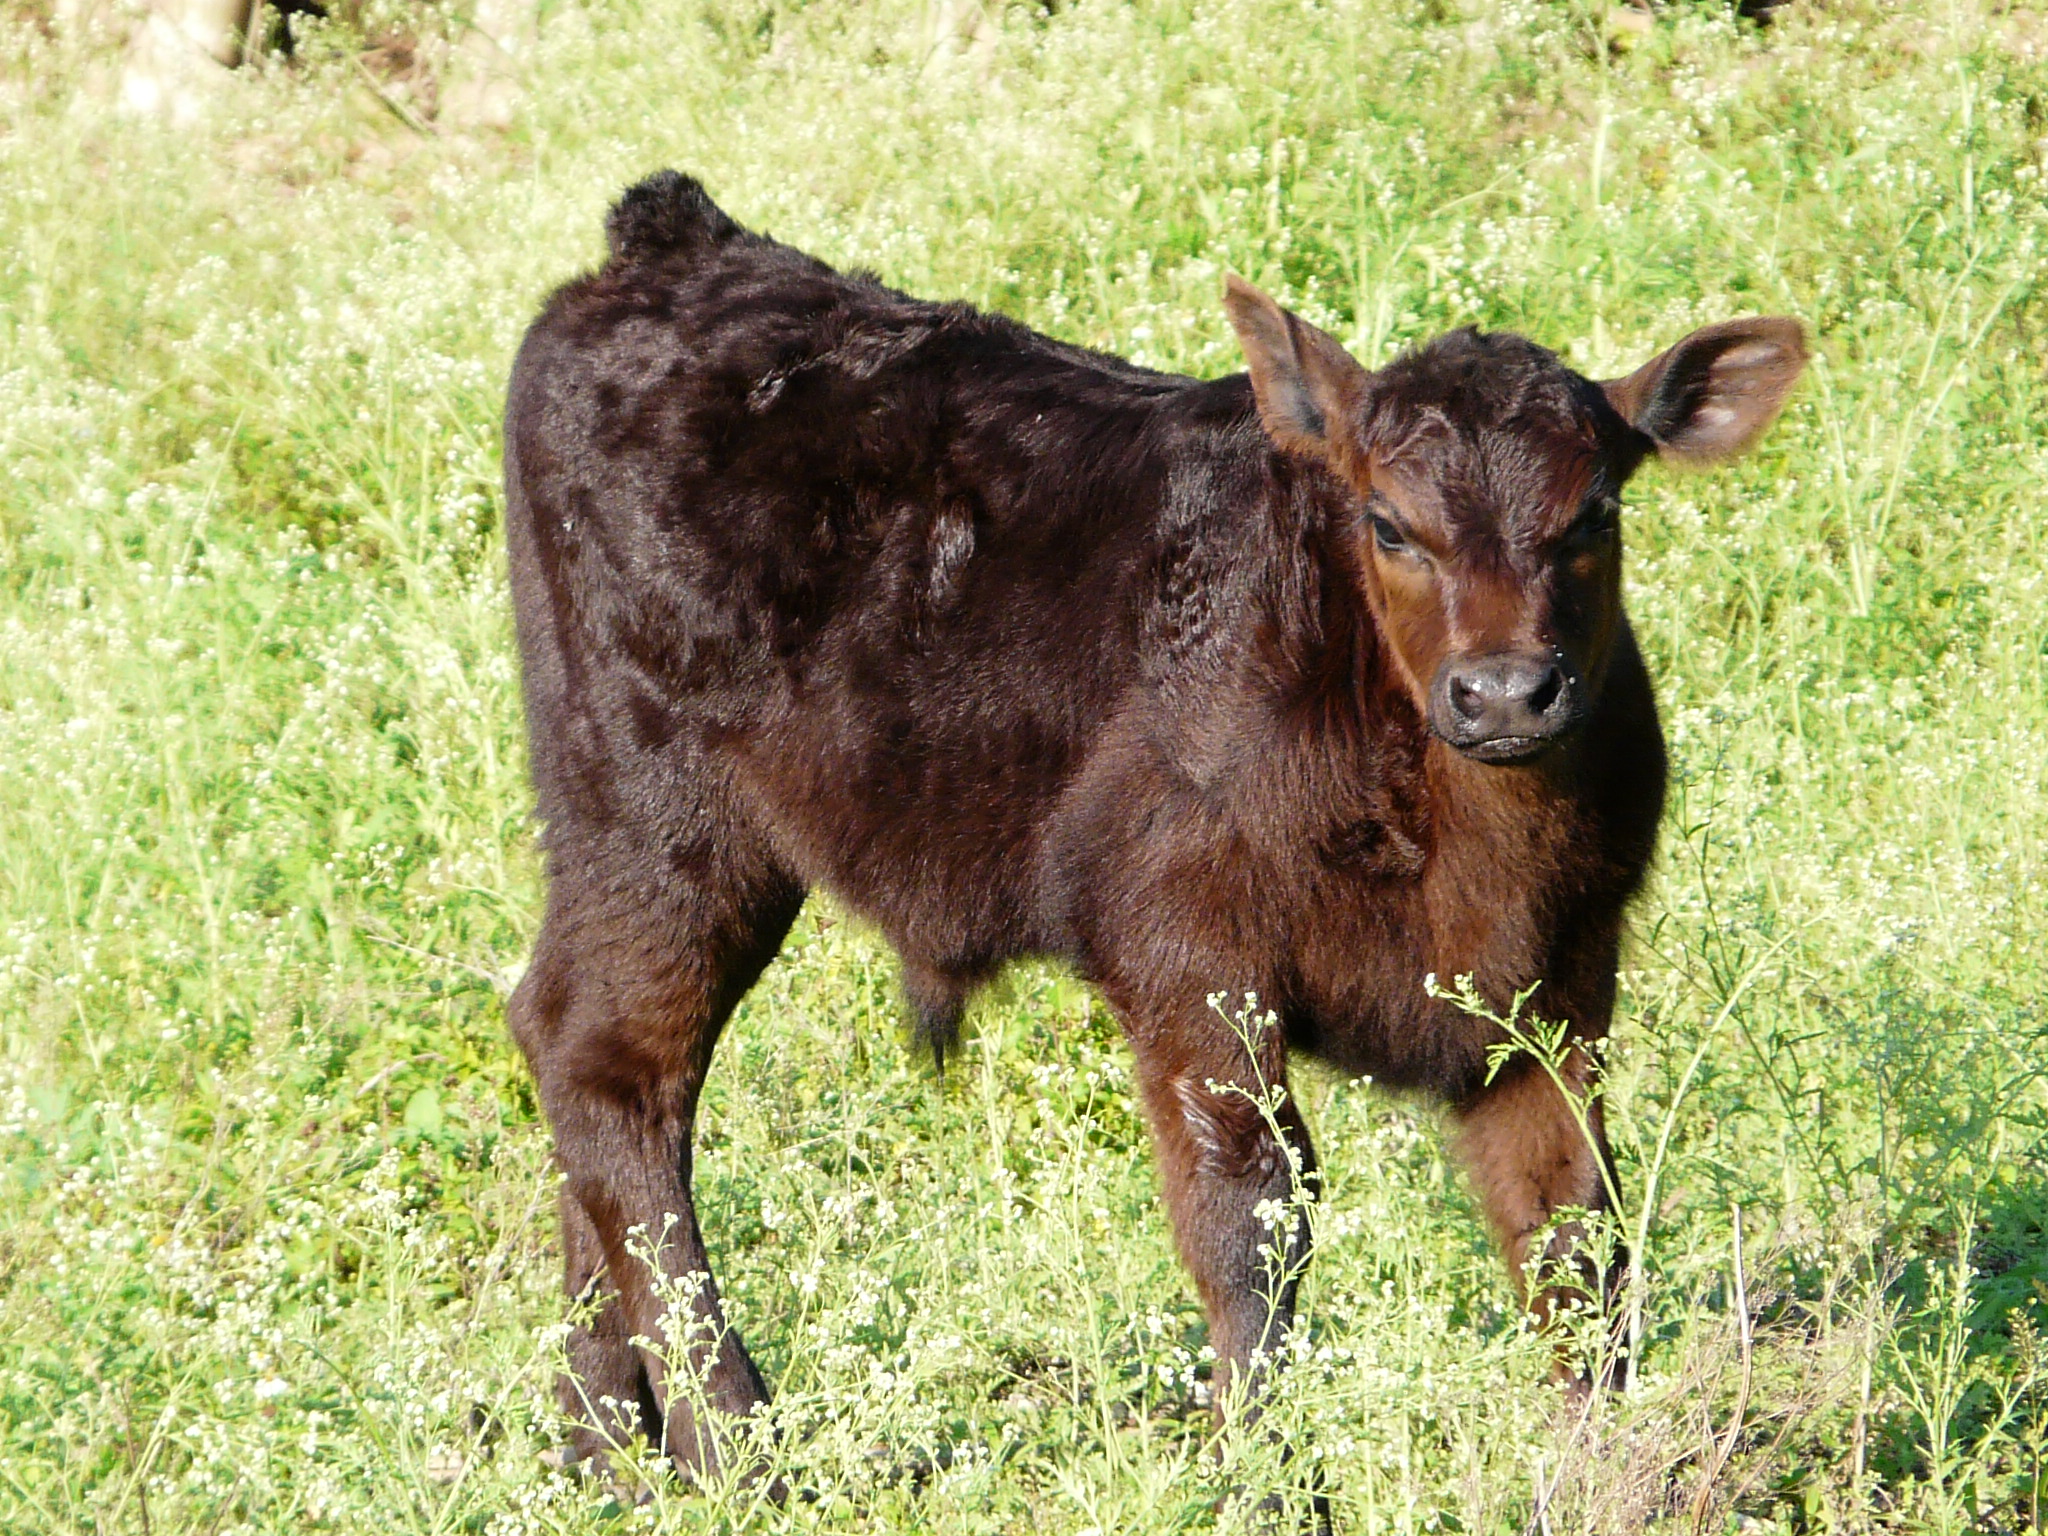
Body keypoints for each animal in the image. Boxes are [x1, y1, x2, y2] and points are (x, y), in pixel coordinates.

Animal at [502, 170, 1806, 1480]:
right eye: (1387, 524)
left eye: (1593, 514)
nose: (1501, 694)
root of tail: (676, 242)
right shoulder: (1188, 961)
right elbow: (1252, 1217)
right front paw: (1265, 1472)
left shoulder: (1553, 994)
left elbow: (1572, 1233)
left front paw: (1603, 1469)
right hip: (656, 821)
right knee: (611, 1065)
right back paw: (731, 1441)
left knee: (584, 1063)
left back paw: (597, 1448)